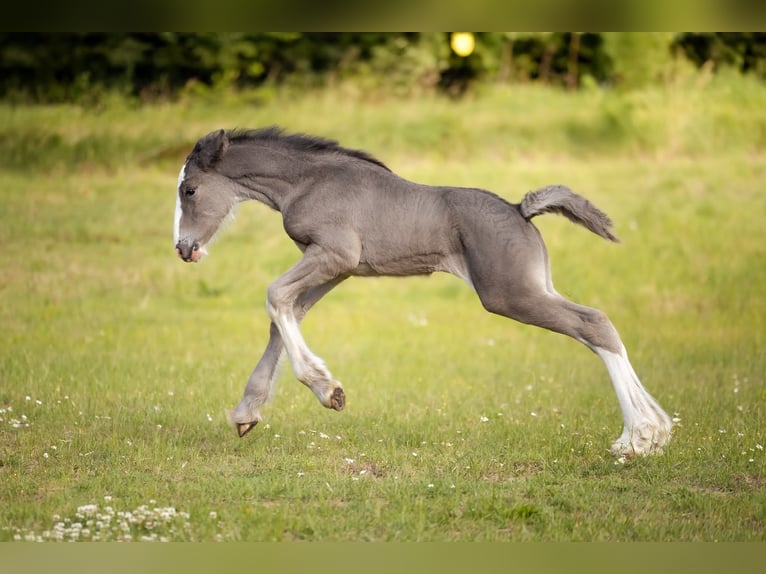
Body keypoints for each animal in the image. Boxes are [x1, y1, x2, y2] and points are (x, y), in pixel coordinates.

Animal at [173, 127, 672, 456]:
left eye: (190, 190)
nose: (183, 248)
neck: (308, 182)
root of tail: (520, 210)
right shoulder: (336, 269)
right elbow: (284, 316)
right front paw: (247, 413)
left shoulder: (334, 255)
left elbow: (275, 297)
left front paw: (328, 390)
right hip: (532, 288)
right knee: (596, 329)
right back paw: (656, 432)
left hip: (508, 294)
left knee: (595, 323)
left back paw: (638, 437)